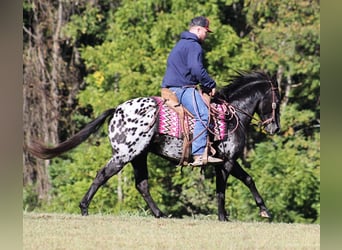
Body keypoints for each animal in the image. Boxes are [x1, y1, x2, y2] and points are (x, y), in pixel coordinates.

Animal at [26, 70, 280, 221]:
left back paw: (160, 213)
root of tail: (116, 111)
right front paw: (225, 217)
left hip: (139, 156)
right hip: (124, 155)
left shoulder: (226, 163)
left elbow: (247, 180)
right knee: (102, 175)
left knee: (142, 185)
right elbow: (224, 190)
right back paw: (84, 207)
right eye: (276, 101)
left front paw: (263, 209)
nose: (275, 128)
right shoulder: (226, 163)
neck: (232, 115)